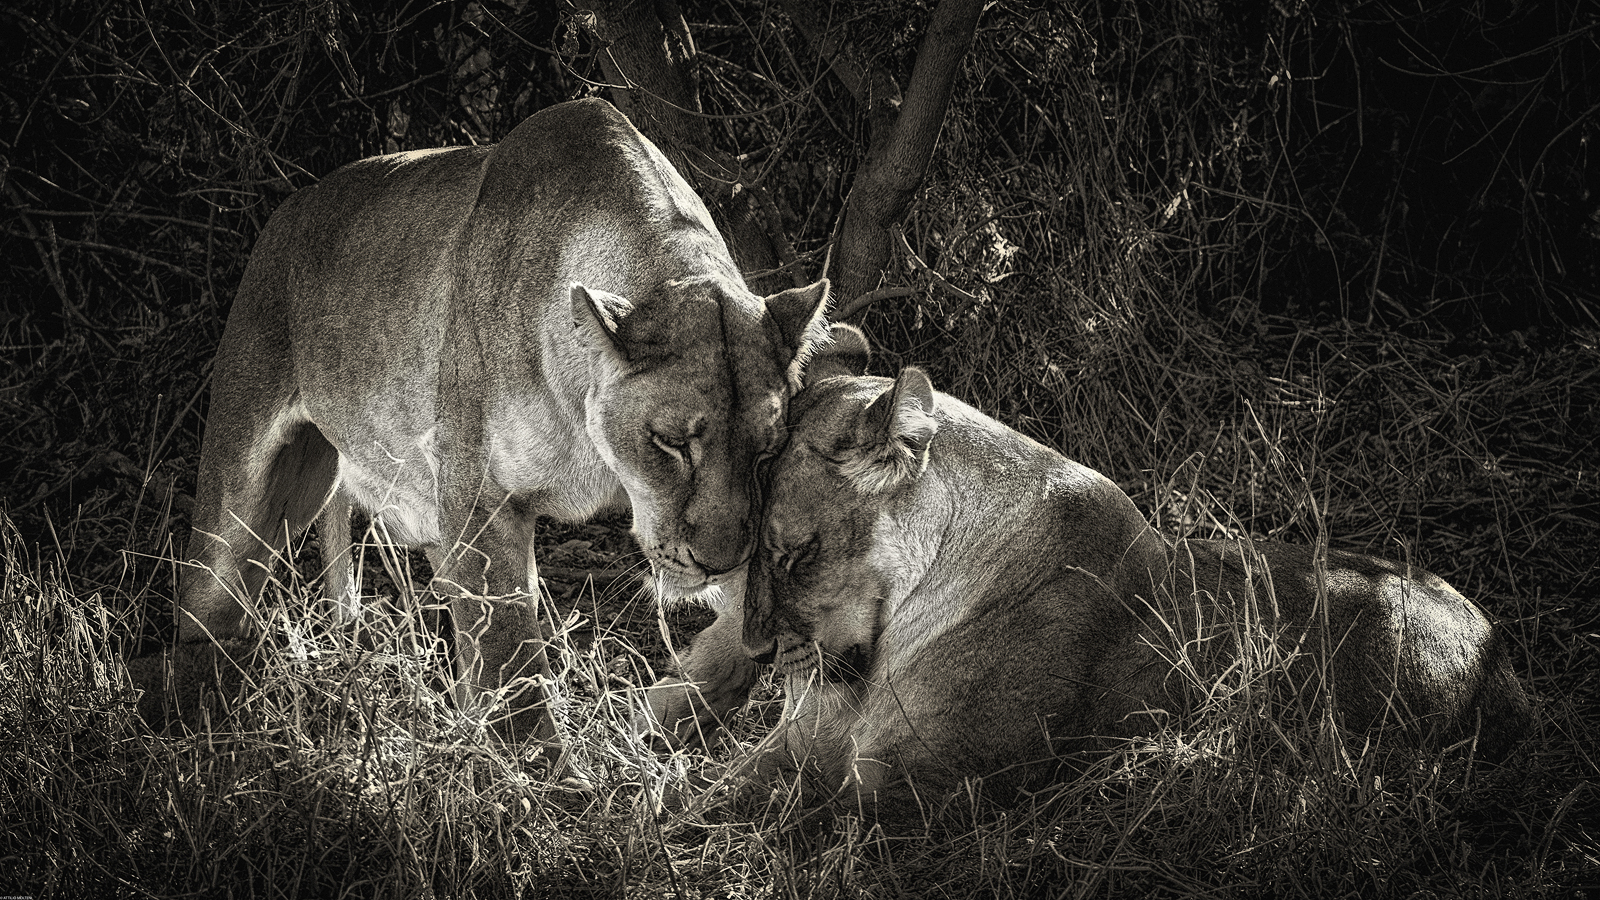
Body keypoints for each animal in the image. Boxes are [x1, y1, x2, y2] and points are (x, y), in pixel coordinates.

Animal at [134, 98, 829, 767]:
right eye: (672, 443)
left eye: (767, 453)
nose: (719, 561)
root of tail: (289, 209)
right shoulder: (482, 493)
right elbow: (506, 647)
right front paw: (545, 779)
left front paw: (670, 715)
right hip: (247, 483)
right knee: (207, 605)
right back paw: (194, 720)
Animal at [730, 325, 1531, 810]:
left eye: (794, 553)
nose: (756, 653)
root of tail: (1495, 648)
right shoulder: (798, 746)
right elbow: (719, 793)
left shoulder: (920, 787)